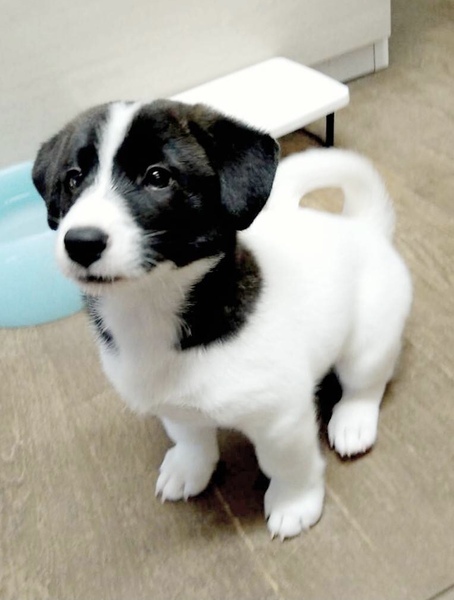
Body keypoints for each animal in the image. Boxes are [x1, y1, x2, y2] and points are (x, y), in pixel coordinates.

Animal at [32, 99, 412, 540]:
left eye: (158, 176)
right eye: (73, 179)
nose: (80, 242)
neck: (151, 309)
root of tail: (362, 225)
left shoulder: (282, 420)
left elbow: (286, 464)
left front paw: (294, 502)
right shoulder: (174, 406)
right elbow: (191, 437)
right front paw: (190, 467)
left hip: (368, 342)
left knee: (366, 384)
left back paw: (353, 421)